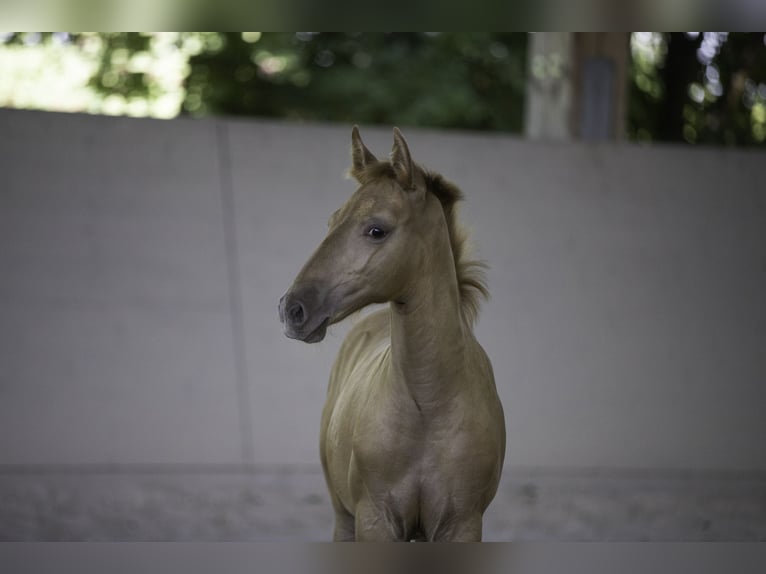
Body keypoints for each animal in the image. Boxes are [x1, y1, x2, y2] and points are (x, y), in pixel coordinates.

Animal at [280, 127, 508, 544]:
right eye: (332, 221)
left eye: (376, 229)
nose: (292, 309)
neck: (429, 408)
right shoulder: (375, 520)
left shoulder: (462, 524)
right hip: (343, 517)